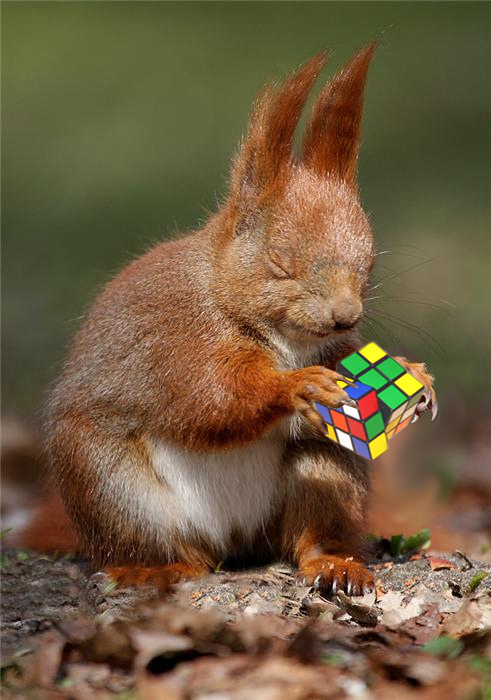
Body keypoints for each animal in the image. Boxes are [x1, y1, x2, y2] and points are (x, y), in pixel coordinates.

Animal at [19, 44, 436, 595]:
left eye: (369, 264)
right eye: (280, 263)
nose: (346, 317)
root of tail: (235, 541)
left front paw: (415, 375)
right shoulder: (179, 339)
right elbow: (212, 399)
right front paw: (296, 386)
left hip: (328, 471)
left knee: (312, 531)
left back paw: (334, 563)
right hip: (110, 484)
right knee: (167, 549)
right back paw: (152, 568)